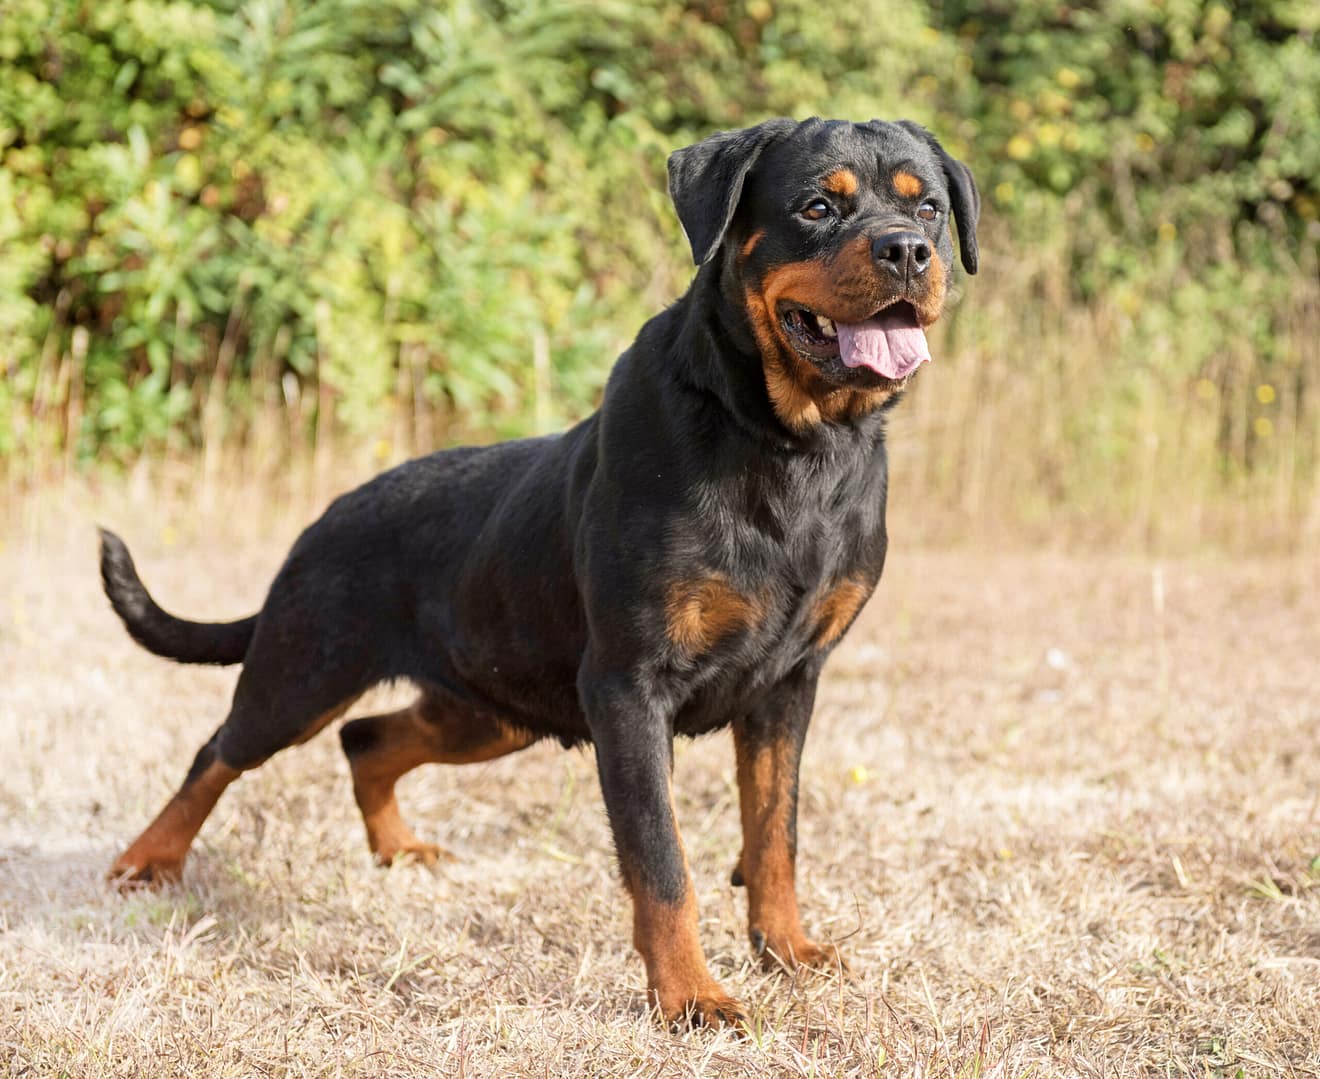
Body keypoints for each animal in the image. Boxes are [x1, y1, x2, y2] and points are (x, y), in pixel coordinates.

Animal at [102, 120, 976, 1024]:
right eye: (816, 207)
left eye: (930, 209)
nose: (907, 251)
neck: (791, 444)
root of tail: (322, 521)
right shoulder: (628, 686)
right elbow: (662, 859)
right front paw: (692, 996)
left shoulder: (789, 683)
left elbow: (776, 832)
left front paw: (787, 949)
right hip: (304, 671)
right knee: (221, 749)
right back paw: (147, 860)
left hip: (493, 705)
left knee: (367, 737)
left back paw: (397, 848)